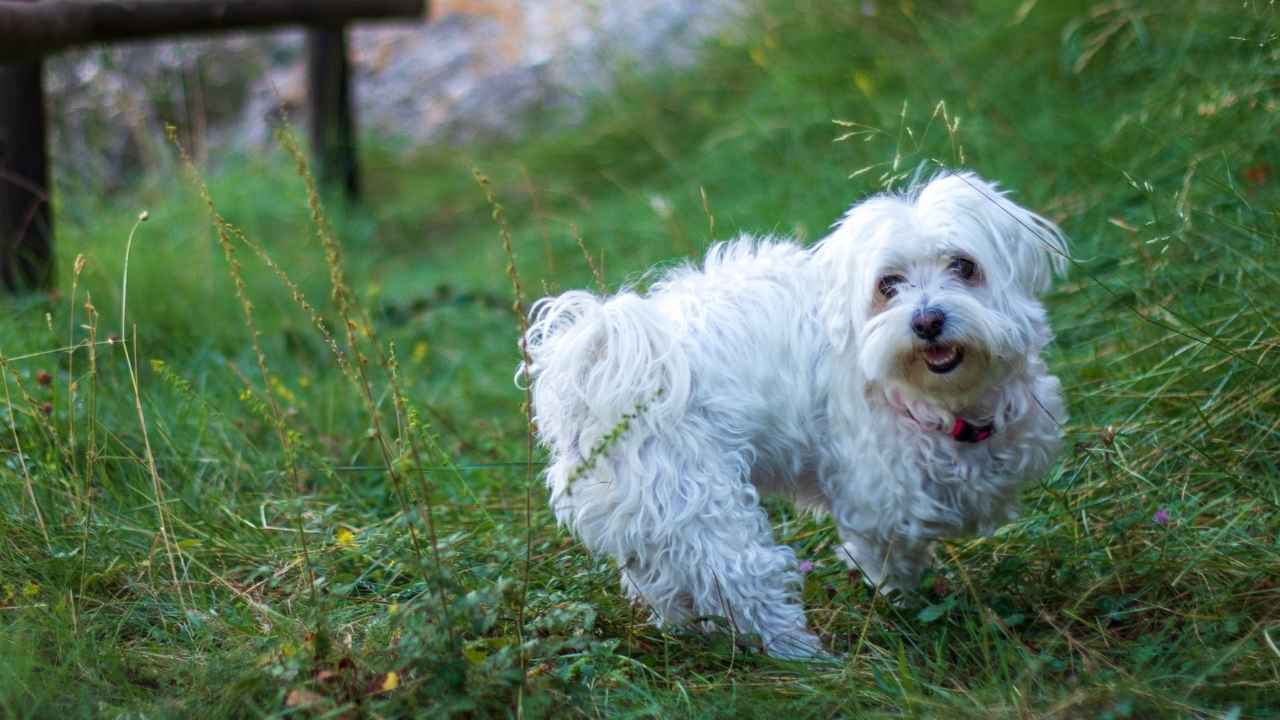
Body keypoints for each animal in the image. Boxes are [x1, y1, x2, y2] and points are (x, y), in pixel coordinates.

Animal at [514, 170, 1064, 653]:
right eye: (887, 284)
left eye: (964, 266)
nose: (927, 321)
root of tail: (597, 363)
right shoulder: (879, 489)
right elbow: (893, 553)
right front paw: (905, 600)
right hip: (703, 506)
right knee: (742, 583)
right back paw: (804, 656)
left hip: (648, 519)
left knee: (664, 585)